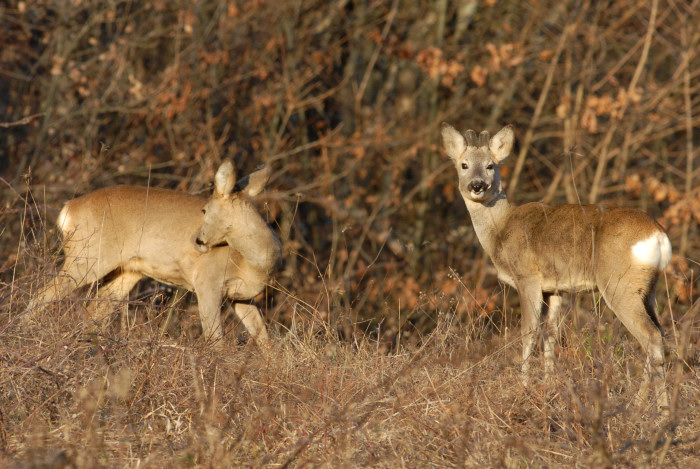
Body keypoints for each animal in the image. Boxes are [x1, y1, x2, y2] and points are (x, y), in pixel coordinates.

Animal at [26, 161, 280, 344]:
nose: (197, 241)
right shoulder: (207, 283)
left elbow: (264, 339)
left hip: (127, 272)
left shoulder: (242, 296)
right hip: (86, 258)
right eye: (203, 208)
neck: (252, 263)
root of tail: (68, 210)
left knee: (93, 312)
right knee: (41, 295)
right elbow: (215, 339)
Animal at [440, 121, 668, 410]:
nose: (477, 185)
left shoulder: (527, 277)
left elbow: (528, 331)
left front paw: (524, 386)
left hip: (620, 284)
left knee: (651, 336)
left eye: (491, 165)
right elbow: (550, 333)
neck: (500, 231)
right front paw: (548, 386)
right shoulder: (556, 288)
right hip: (649, 289)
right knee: (661, 333)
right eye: (464, 165)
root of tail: (658, 235)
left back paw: (649, 408)